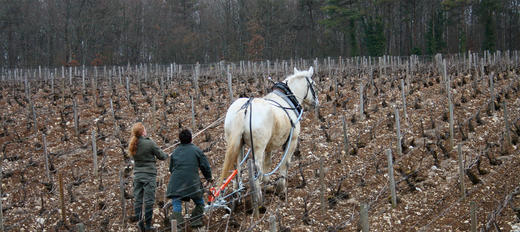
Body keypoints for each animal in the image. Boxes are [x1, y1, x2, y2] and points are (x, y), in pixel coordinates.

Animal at [218, 66, 316, 202]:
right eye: (313, 84)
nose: (316, 102)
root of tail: (245, 108)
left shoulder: (269, 146)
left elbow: (267, 163)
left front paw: (267, 183)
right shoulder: (292, 140)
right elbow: (285, 163)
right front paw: (281, 188)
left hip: (238, 144)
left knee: (238, 168)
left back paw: (238, 196)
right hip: (258, 147)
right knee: (256, 171)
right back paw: (258, 199)